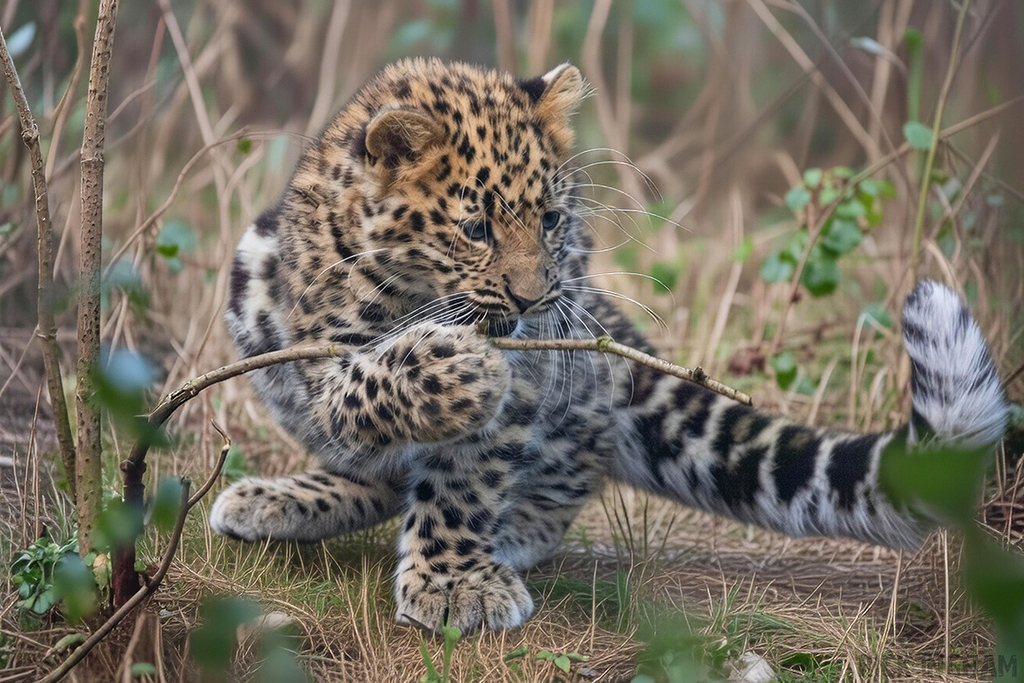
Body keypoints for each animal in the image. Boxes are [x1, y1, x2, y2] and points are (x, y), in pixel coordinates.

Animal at [210, 58, 1008, 633]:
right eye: (476, 228)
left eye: (552, 219)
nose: (534, 299)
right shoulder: (322, 348)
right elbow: (363, 388)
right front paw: (456, 369)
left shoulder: (532, 379)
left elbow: (463, 481)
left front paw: (456, 581)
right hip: (249, 271)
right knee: (370, 468)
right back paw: (277, 498)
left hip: (579, 385)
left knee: (565, 468)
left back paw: (509, 533)